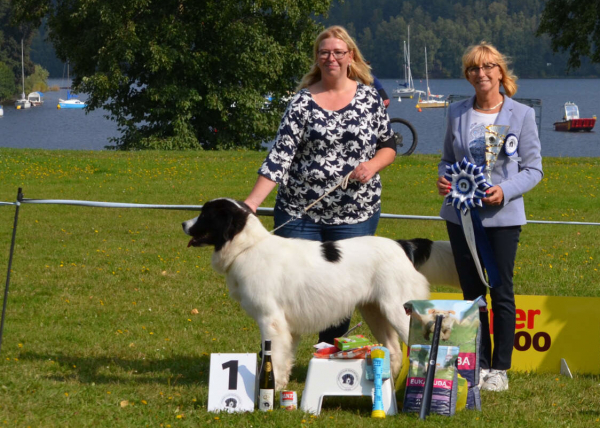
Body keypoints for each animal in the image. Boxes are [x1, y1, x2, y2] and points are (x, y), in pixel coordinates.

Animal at [180, 199, 458, 390]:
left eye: (205, 214)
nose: (183, 224)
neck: (248, 247)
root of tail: (401, 244)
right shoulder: (287, 327)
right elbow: (284, 357)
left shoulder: (271, 320)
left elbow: (274, 357)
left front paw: (269, 391)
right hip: (376, 311)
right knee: (394, 350)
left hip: (399, 311)